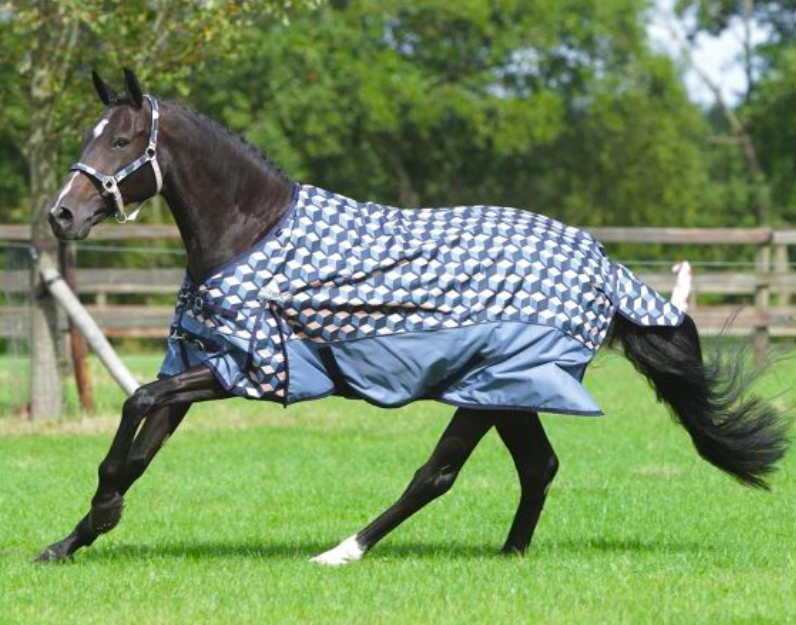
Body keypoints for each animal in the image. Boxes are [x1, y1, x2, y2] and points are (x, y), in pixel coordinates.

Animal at [35, 69, 784, 564]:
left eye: (123, 139)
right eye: (90, 135)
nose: (61, 214)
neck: (251, 230)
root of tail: (604, 268)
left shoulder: (248, 369)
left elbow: (136, 401)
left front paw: (98, 516)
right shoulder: (202, 362)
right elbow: (138, 445)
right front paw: (70, 539)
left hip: (488, 389)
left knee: (439, 472)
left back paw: (344, 550)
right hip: (509, 391)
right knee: (538, 466)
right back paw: (509, 554)